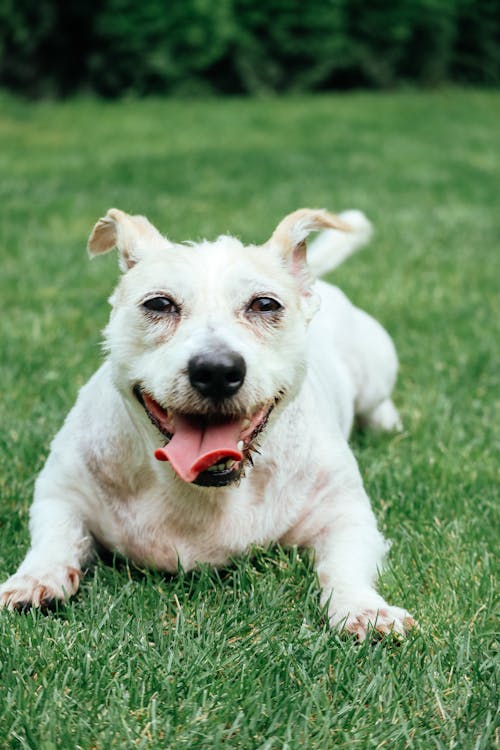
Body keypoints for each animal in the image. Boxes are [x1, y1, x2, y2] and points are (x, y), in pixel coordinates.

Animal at [0, 207, 414, 640]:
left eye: (265, 304)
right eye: (159, 303)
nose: (216, 370)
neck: (201, 491)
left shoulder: (346, 514)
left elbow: (344, 564)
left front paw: (363, 607)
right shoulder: (60, 492)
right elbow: (55, 538)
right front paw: (36, 579)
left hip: (376, 369)